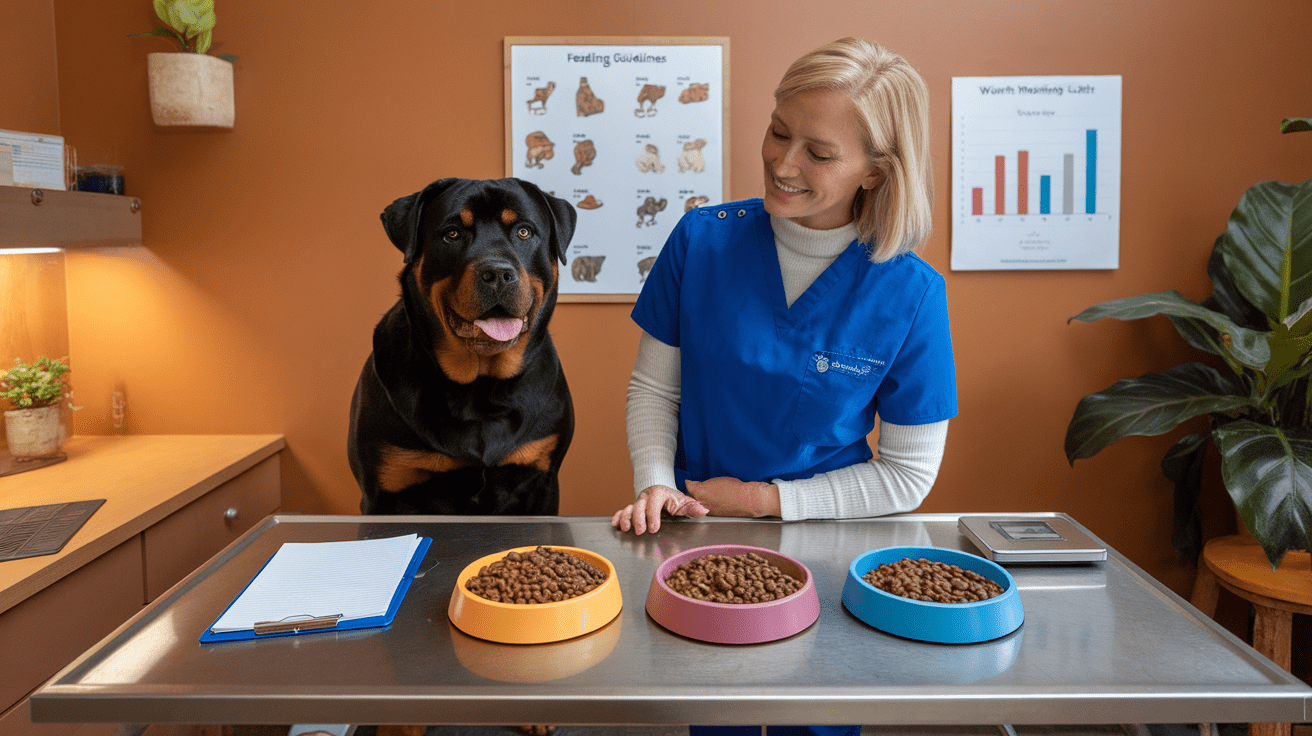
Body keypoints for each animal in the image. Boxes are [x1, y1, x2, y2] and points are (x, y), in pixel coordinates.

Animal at [348, 174, 574, 514]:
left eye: (524, 231)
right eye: (452, 234)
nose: (497, 273)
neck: (479, 389)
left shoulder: (543, 480)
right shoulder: (384, 490)